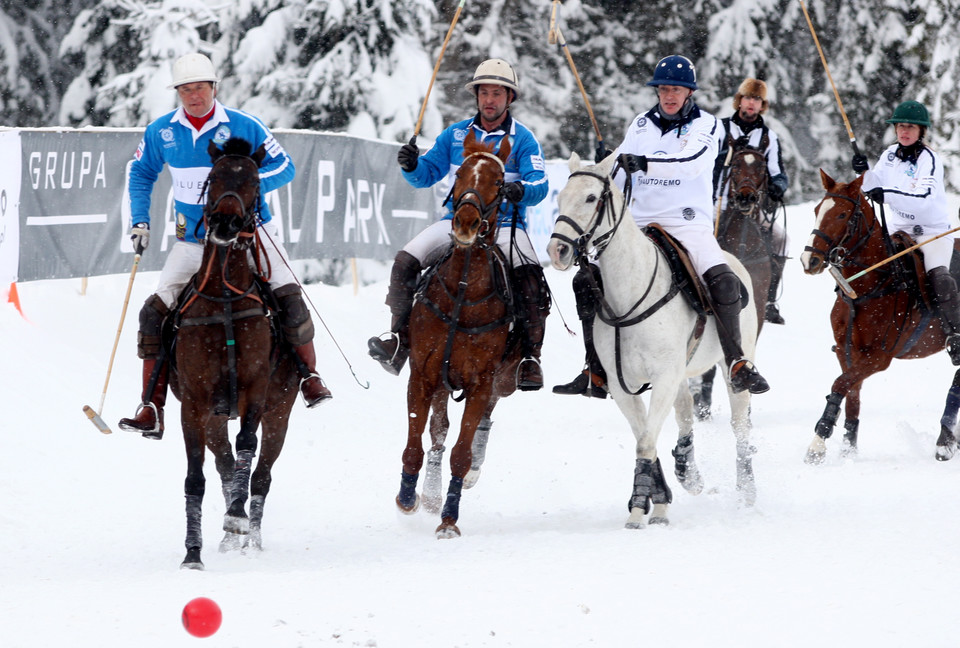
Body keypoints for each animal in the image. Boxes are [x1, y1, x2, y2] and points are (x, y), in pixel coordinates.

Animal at [172, 138, 300, 568]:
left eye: (255, 182)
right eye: (213, 178)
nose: (226, 224)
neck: (225, 296)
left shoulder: (256, 390)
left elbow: (247, 446)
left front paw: (237, 518)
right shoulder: (194, 402)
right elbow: (196, 477)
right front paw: (192, 553)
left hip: (281, 411)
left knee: (261, 472)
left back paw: (250, 535)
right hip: (214, 416)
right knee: (224, 463)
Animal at [392, 130, 528, 536]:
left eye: (499, 182)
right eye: (460, 172)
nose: (465, 223)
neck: (464, 289)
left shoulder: (481, 380)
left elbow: (462, 453)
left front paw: (449, 520)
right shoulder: (422, 373)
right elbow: (417, 443)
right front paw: (408, 497)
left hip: (503, 378)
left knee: (483, 421)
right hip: (442, 378)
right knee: (437, 432)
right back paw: (428, 494)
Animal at [548, 154, 756, 528]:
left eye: (590, 197)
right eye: (560, 198)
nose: (557, 250)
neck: (628, 293)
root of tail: (735, 260)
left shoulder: (663, 376)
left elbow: (645, 441)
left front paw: (638, 510)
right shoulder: (621, 384)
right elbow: (645, 436)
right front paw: (655, 503)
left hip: (731, 362)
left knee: (740, 424)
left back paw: (747, 492)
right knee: (686, 411)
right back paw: (688, 472)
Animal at [800, 172, 960, 464]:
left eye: (842, 214)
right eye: (817, 210)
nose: (810, 261)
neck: (863, 289)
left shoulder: (880, 355)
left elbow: (840, 384)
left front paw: (817, 444)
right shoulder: (847, 350)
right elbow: (852, 394)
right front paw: (848, 450)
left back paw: (944, 442)